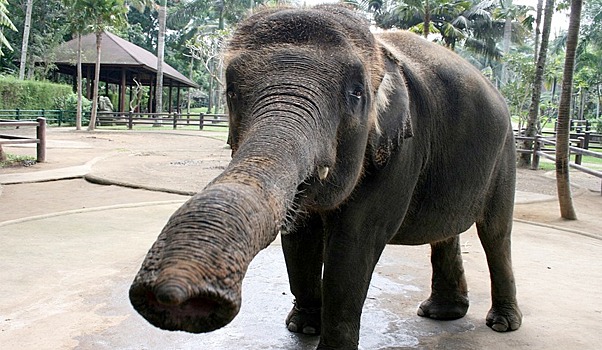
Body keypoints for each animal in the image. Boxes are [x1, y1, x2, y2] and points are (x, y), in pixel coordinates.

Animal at [130, 4, 520, 348]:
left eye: (356, 93)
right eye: (231, 91)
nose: (177, 300)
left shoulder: (403, 150)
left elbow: (353, 244)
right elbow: (299, 237)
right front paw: (302, 327)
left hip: (507, 153)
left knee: (496, 234)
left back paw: (502, 324)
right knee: (446, 234)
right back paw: (440, 313)